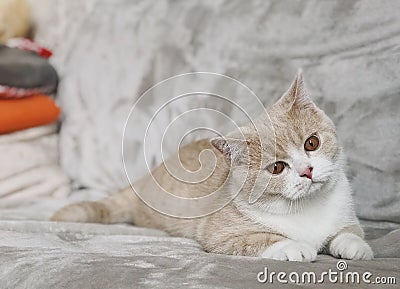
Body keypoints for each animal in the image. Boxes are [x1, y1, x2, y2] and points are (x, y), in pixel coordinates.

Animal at [51, 71, 374, 260]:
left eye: (311, 143)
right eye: (277, 168)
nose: (307, 171)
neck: (307, 209)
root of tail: (144, 180)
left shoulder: (345, 216)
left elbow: (349, 232)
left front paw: (354, 246)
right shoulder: (220, 234)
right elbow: (261, 239)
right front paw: (294, 247)